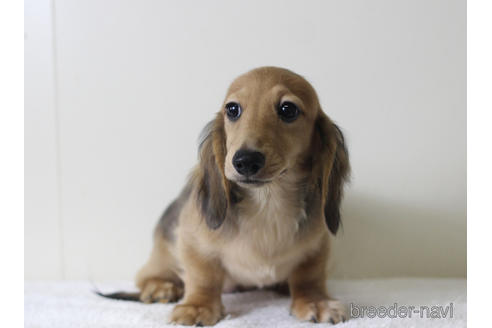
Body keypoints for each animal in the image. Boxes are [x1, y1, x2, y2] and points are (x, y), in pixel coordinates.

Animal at [102, 66, 352, 326]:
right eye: (232, 109)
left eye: (288, 109)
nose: (245, 161)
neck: (267, 203)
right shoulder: (192, 240)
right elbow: (203, 275)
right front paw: (197, 307)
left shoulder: (317, 245)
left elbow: (309, 275)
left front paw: (316, 301)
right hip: (162, 254)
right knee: (146, 275)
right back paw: (161, 287)